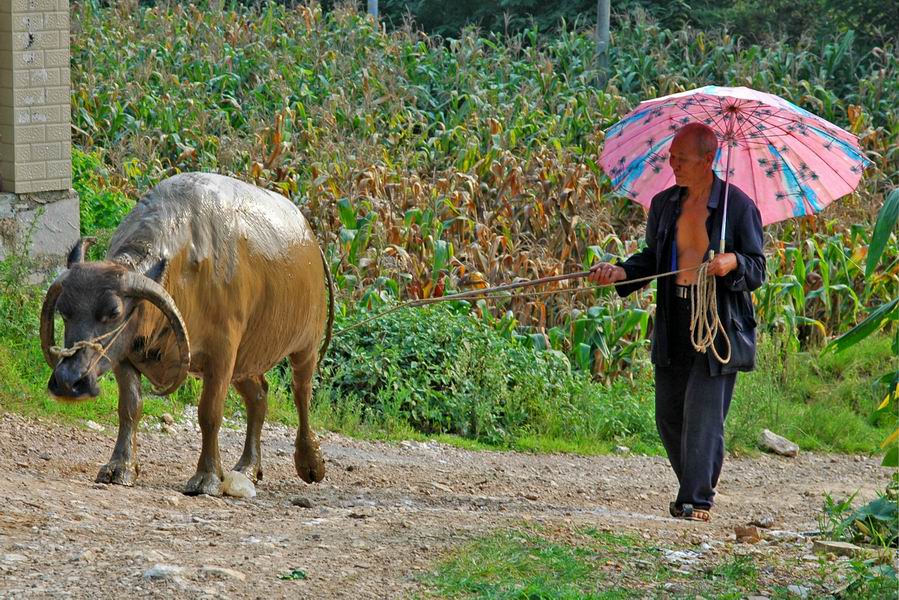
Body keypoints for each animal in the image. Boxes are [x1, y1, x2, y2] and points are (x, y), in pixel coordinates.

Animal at [39, 171, 334, 494]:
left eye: (114, 312)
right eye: (63, 310)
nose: (68, 381)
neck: (183, 269)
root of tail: (311, 240)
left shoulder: (222, 353)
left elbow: (209, 413)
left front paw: (207, 477)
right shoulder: (124, 355)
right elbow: (129, 407)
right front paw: (120, 466)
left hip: (305, 345)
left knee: (301, 392)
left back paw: (311, 462)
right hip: (246, 359)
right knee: (259, 396)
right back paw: (248, 466)